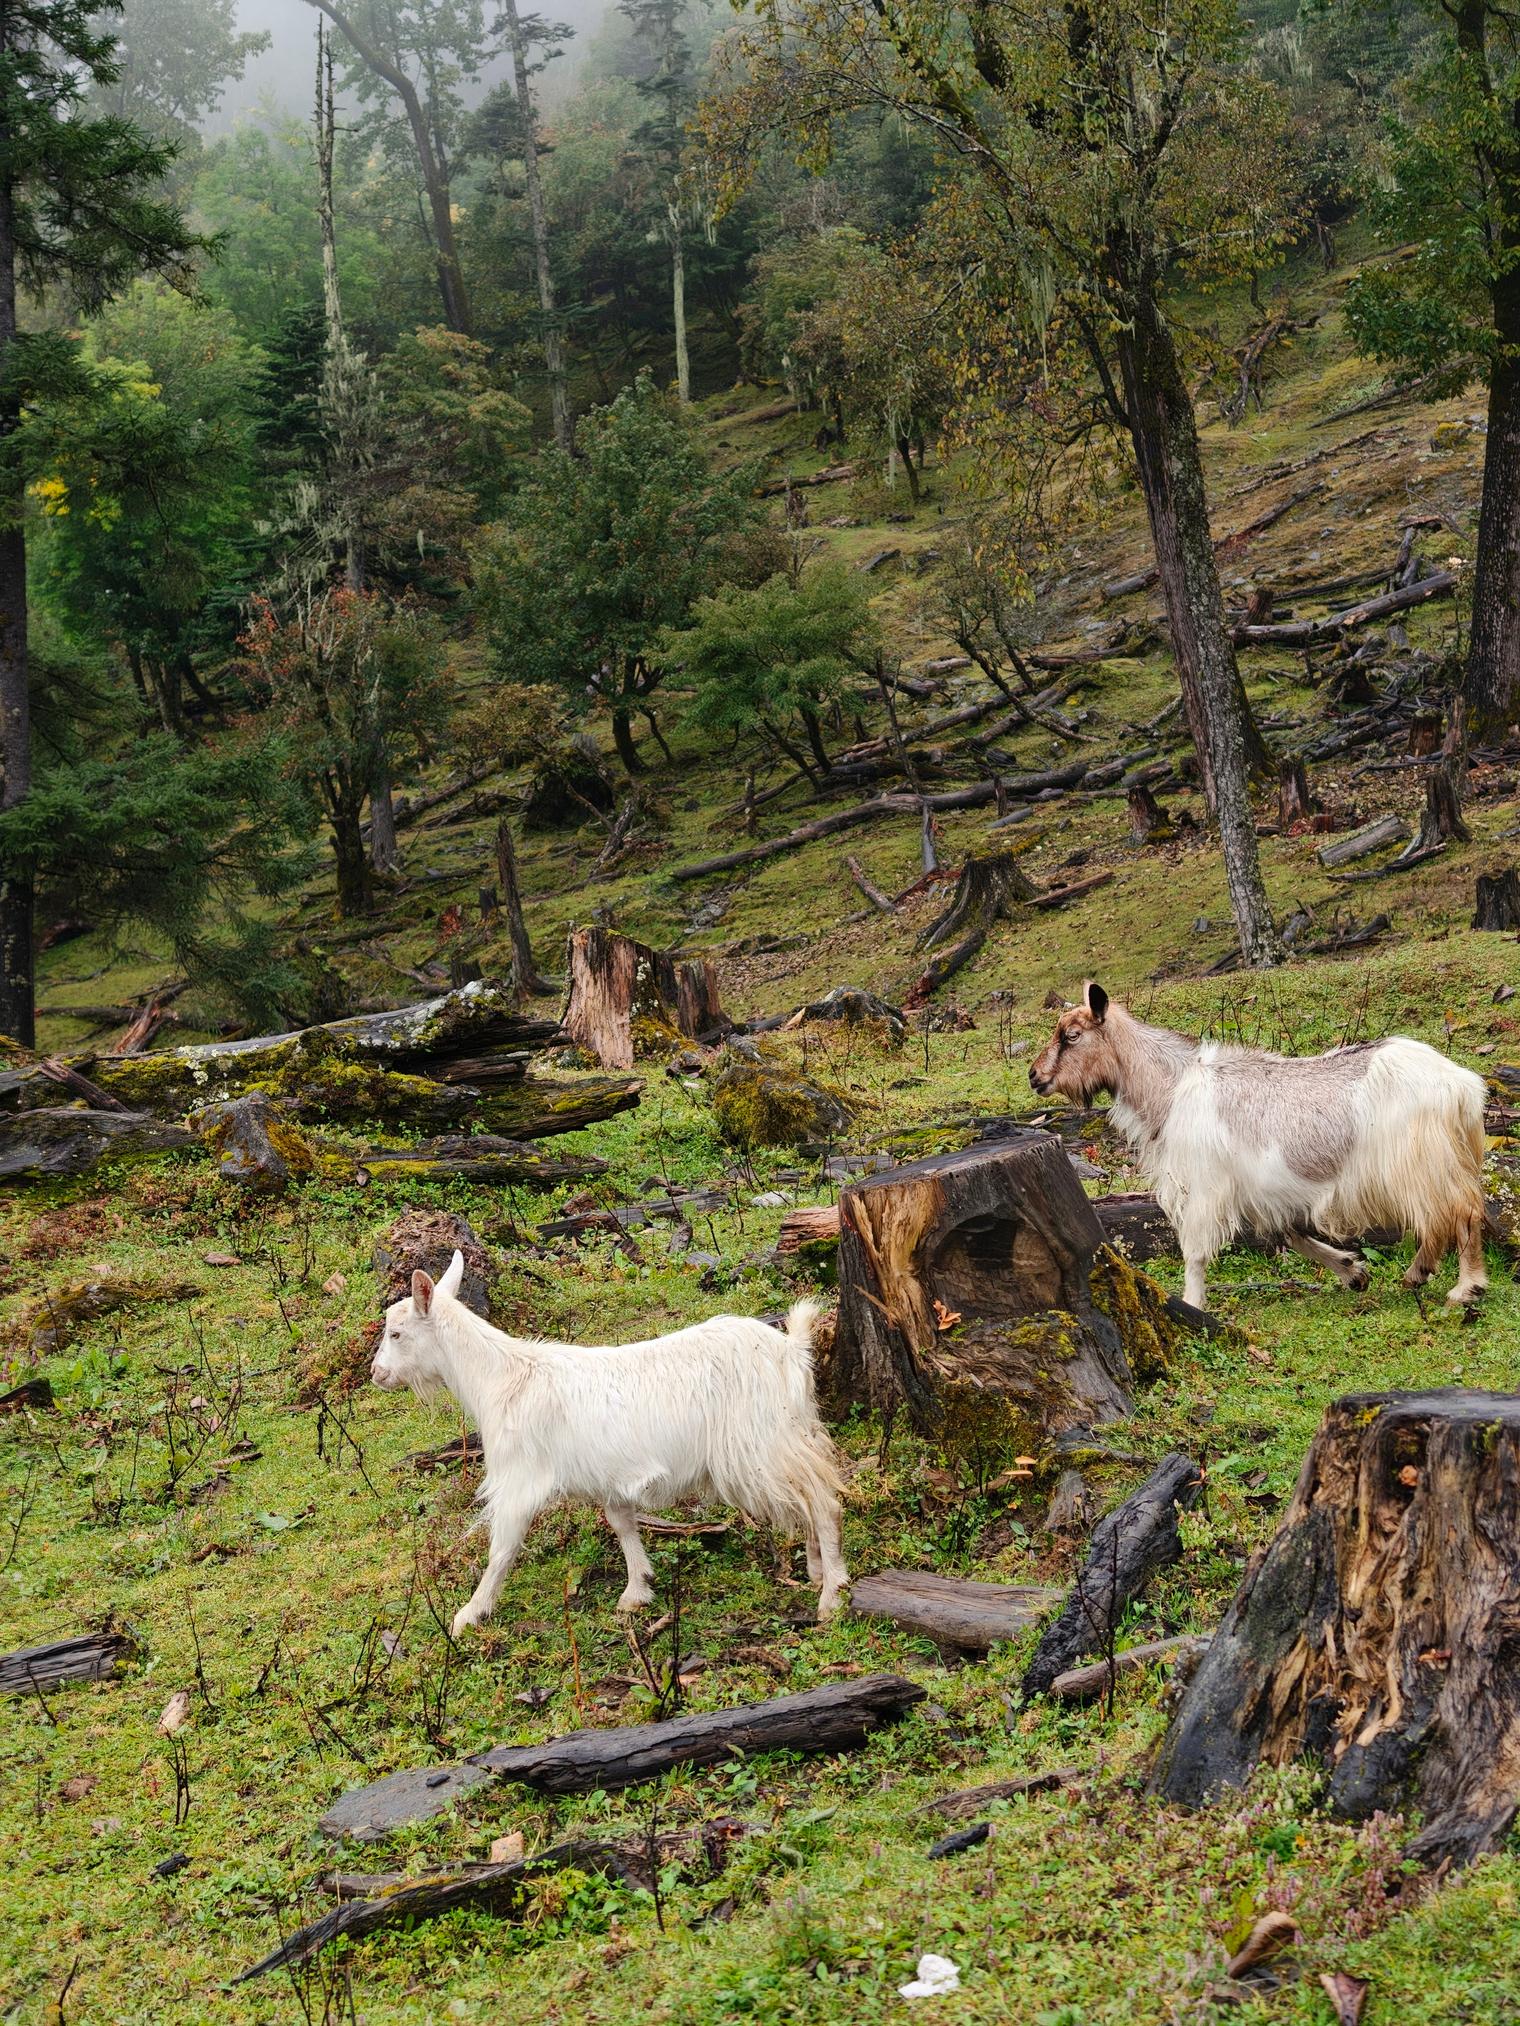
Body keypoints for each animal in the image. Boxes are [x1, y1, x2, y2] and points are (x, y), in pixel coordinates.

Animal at [372, 1252, 849, 1636]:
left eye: (396, 1333)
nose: (377, 1374)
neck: (502, 1379)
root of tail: (791, 1350)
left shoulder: (518, 1480)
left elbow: (502, 1547)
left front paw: (470, 1613)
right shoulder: (612, 1478)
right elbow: (622, 1525)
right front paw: (637, 1591)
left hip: (761, 1444)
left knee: (824, 1502)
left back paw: (832, 1595)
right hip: (787, 1435)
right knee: (809, 1494)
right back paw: (815, 1569)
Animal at [1030, 982, 1488, 1312]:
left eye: (1072, 1035)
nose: (1035, 1077)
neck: (1172, 1087)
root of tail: (1462, 1086)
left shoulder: (1206, 1186)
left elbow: (1195, 1251)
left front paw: (1192, 1304)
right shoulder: (1261, 1191)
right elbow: (1290, 1233)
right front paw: (1352, 1272)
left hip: (1418, 1161)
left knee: (1458, 1213)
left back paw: (1460, 1286)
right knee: (1450, 1215)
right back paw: (1427, 1276)